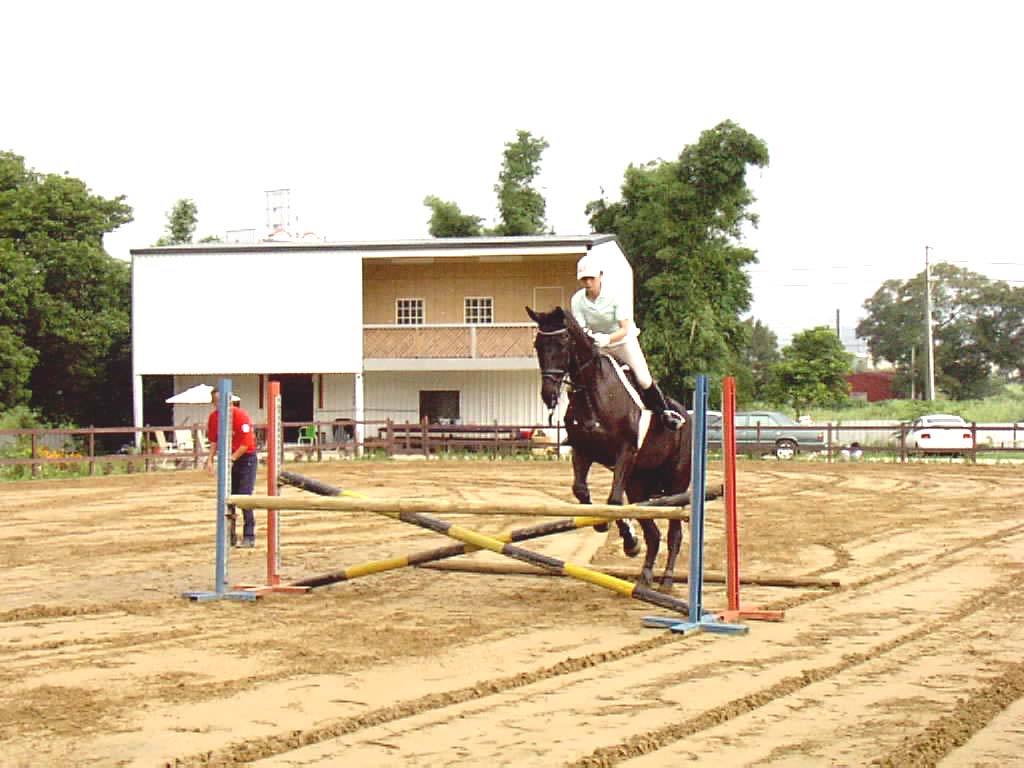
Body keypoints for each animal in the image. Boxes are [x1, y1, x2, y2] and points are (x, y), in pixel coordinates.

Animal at [528, 303, 696, 585]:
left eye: (562, 343)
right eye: (538, 345)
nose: (548, 395)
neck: (592, 393)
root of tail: (687, 415)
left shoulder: (624, 451)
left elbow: (614, 501)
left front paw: (627, 538)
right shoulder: (583, 451)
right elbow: (582, 491)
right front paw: (608, 528)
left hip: (676, 482)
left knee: (674, 531)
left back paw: (667, 579)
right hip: (638, 482)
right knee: (652, 531)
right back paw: (645, 576)